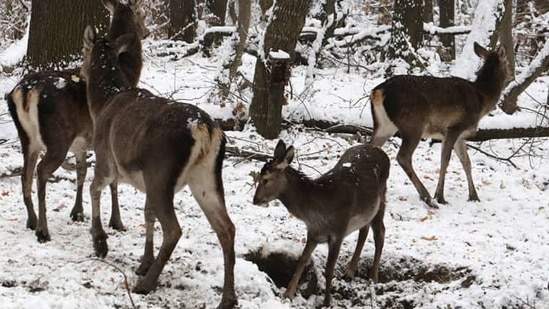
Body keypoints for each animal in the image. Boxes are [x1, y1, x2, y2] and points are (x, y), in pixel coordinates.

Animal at [6, 0, 148, 242]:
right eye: (141, 14)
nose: (146, 32)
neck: (127, 74)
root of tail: (25, 91)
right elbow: (113, 181)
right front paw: (117, 222)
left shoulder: (81, 143)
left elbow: (81, 172)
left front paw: (77, 212)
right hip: (57, 137)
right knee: (41, 171)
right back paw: (43, 230)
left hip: (27, 138)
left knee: (26, 175)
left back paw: (32, 220)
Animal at [81, 27, 235, 306]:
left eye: (84, 50)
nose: (79, 71)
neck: (101, 105)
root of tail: (204, 128)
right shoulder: (142, 178)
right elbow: (147, 214)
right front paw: (144, 262)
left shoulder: (106, 159)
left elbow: (94, 188)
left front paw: (100, 243)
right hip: (204, 179)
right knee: (227, 228)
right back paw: (228, 297)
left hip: (161, 174)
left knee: (174, 229)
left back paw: (146, 284)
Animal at [253, 140, 390, 306]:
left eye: (265, 179)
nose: (255, 200)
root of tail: (381, 151)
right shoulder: (313, 232)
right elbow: (302, 260)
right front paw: (288, 294)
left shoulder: (339, 231)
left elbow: (329, 269)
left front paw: (327, 302)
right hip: (367, 210)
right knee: (364, 230)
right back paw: (350, 271)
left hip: (381, 197)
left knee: (380, 233)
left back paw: (373, 277)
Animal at [370, 41, 508, 207]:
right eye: (508, 62)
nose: (512, 75)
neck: (482, 101)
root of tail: (378, 91)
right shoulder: (454, 127)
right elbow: (445, 159)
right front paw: (440, 196)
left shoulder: (460, 135)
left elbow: (466, 162)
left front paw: (474, 196)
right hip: (413, 124)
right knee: (403, 157)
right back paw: (427, 197)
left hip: (384, 125)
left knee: (369, 146)